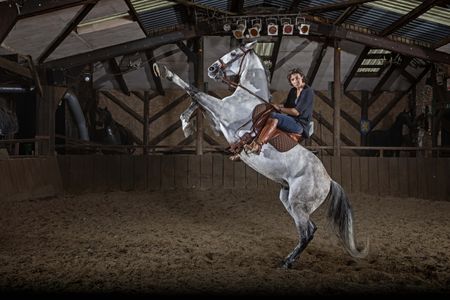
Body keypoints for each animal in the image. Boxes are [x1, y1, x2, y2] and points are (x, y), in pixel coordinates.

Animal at [153, 39, 368, 268]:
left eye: (235, 53)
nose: (211, 69)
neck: (247, 97)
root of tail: (329, 180)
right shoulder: (219, 124)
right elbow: (197, 101)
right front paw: (186, 123)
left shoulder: (223, 114)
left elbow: (195, 91)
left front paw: (165, 71)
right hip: (288, 199)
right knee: (310, 229)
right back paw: (289, 259)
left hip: (298, 204)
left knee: (307, 233)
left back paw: (286, 263)